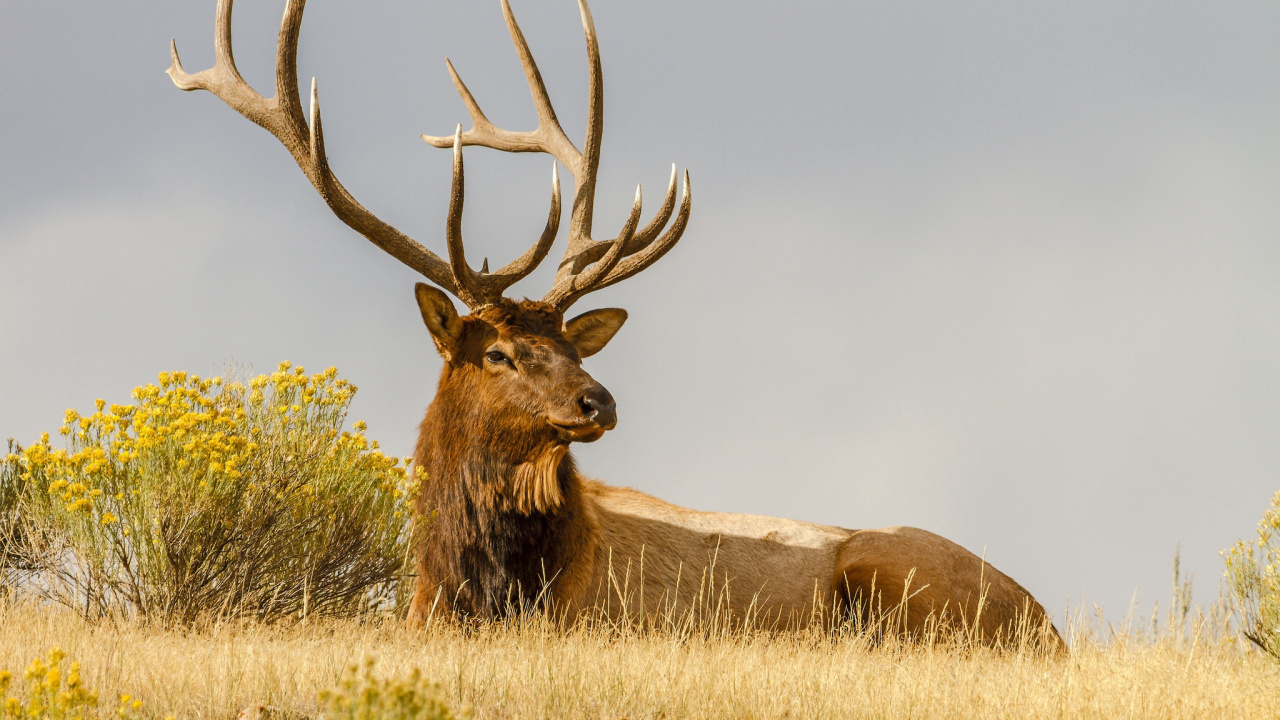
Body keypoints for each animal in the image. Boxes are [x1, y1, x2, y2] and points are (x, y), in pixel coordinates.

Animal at [169, 0, 1062, 647]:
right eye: (497, 352)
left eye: (569, 342)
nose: (597, 401)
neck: (478, 587)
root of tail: (1046, 622)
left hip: (892, 572)